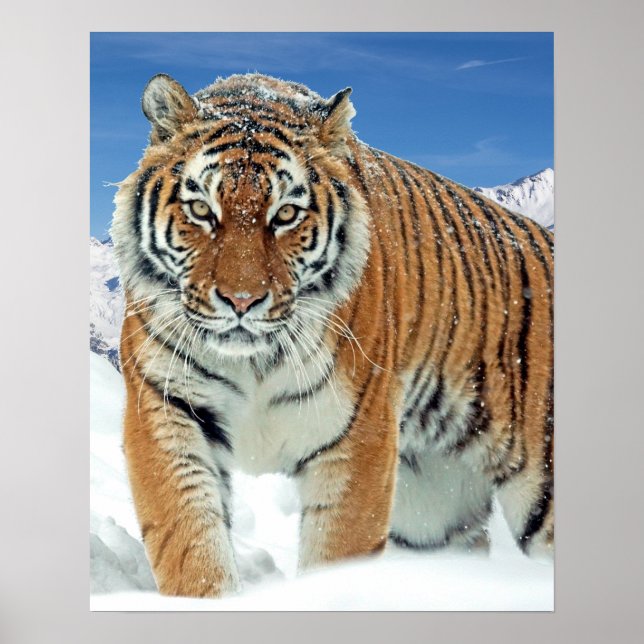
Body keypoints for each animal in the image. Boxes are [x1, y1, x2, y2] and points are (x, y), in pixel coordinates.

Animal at [111, 72, 554, 598]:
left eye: (285, 215)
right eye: (201, 209)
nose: (241, 301)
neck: (254, 361)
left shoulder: (357, 436)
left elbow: (337, 553)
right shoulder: (165, 407)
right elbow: (190, 543)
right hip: (433, 510)